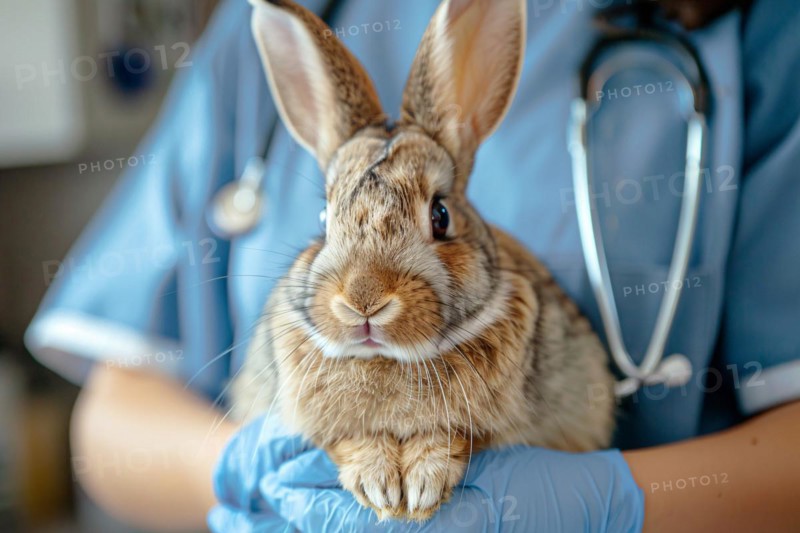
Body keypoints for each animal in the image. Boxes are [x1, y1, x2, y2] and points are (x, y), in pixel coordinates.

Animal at [230, 0, 616, 522]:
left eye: (440, 215)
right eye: (324, 217)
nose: (363, 301)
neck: (388, 358)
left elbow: (456, 436)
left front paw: (420, 487)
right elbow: (347, 440)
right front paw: (379, 483)